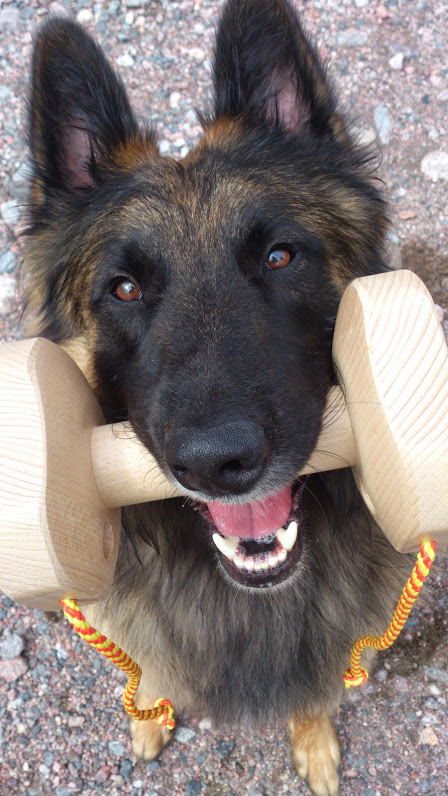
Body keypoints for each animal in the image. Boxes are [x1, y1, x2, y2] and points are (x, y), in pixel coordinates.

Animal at [23, 3, 410, 792]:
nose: (215, 463)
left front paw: (314, 743)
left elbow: (316, 692)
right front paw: (149, 714)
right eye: (124, 288)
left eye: (280, 256)